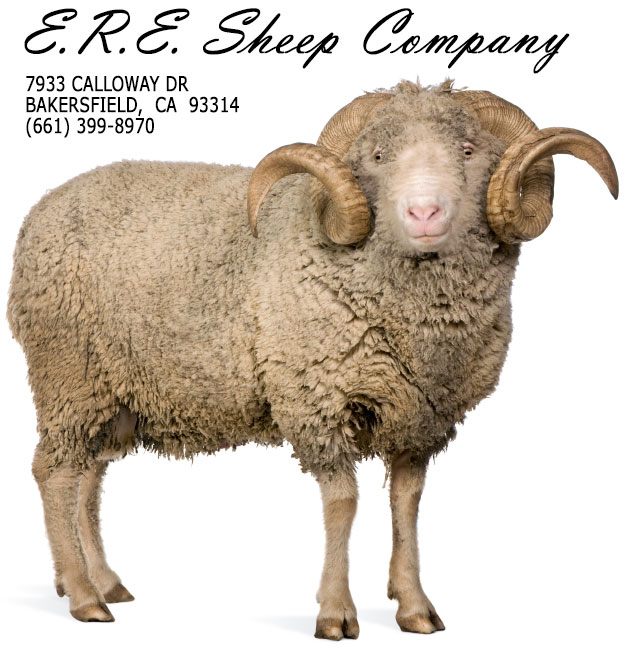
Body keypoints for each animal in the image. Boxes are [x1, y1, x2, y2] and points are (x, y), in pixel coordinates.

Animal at [7, 79, 618, 638]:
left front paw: (414, 605)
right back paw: (84, 597)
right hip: (69, 373)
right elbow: (343, 504)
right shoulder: (316, 397)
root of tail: (40, 210)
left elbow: (407, 504)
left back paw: (102, 580)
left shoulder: (421, 417)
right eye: (378, 156)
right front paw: (336, 613)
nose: (424, 212)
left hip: (114, 393)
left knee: (88, 476)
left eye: (468, 150)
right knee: (54, 473)